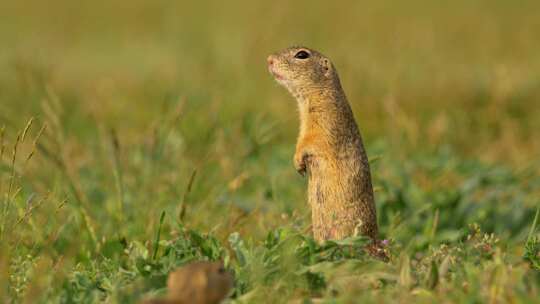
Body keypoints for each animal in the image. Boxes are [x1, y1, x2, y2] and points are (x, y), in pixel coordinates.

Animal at [266, 46, 378, 243]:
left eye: (302, 55)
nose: (269, 59)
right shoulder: (304, 126)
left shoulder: (326, 122)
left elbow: (313, 141)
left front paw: (298, 162)